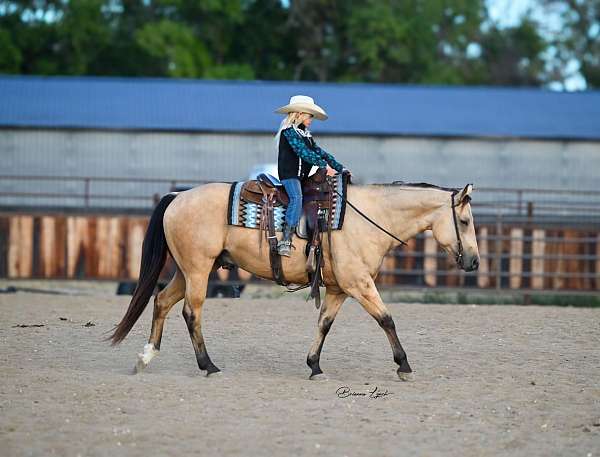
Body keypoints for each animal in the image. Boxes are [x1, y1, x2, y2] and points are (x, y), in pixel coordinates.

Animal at [110, 176, 480, 380]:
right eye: (463, 221)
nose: (475, 261)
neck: (369, 218)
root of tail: (178, 196)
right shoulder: (359, 283)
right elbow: (386, 319)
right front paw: (404, 366)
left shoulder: (338, 289)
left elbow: (324, 324)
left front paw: (314, 366)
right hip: (198, 270)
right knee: (191, 312)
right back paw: (208, 365)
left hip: (189, 270)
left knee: (161, 301)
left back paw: (145, 358)